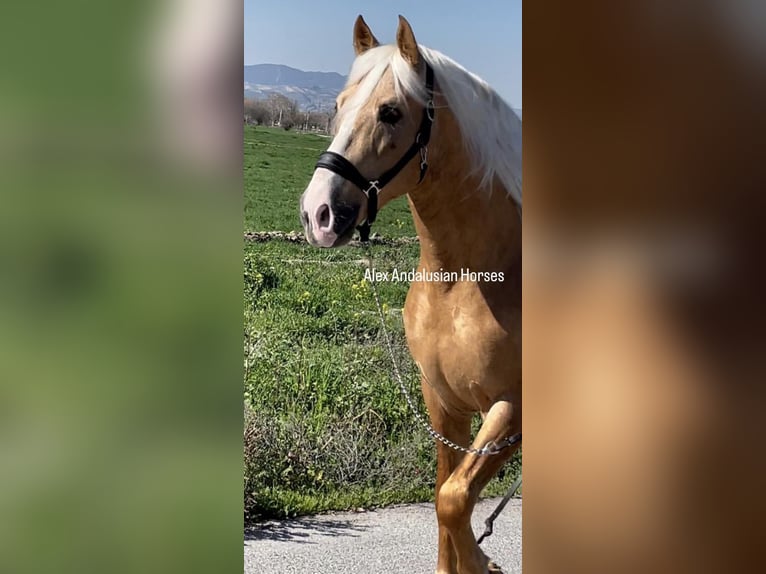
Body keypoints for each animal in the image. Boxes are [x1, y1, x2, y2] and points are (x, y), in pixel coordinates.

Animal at [300, 14, 520, 574]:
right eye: (338, 105)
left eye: (391, 111)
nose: (318, 213)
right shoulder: (443, 403)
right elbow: (447, 499)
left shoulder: (512, 408)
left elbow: (454, 500)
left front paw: (485, 562)